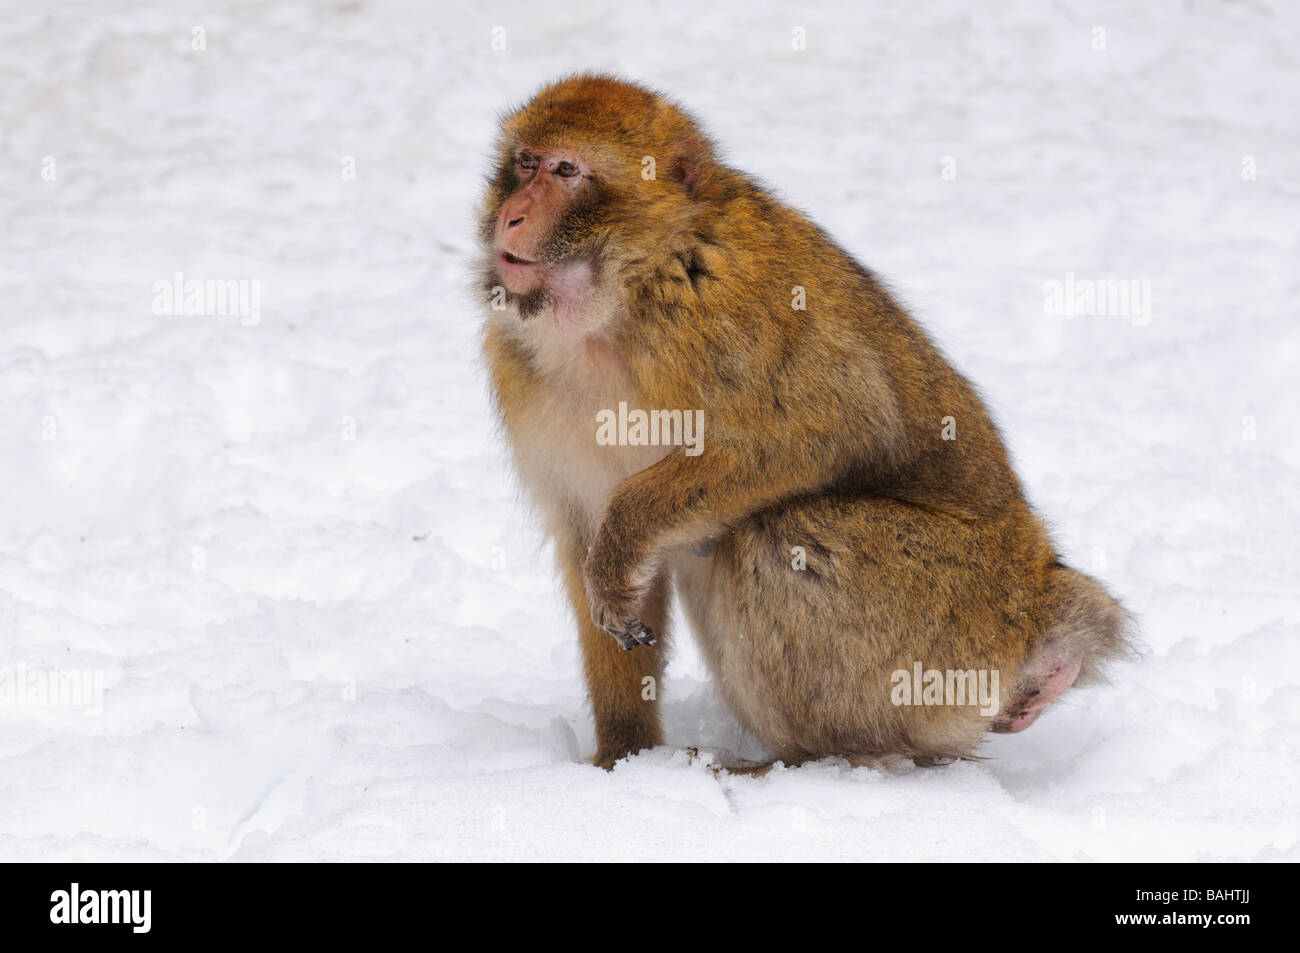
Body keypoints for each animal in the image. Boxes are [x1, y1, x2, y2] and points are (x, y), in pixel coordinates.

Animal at [477, 74, 1135, 771]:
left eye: (566, 170)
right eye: (524, 162)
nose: (510, 214)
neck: (625, 296)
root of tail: (1036, 603)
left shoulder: (716, 317)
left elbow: (840, 423)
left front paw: (623, 536)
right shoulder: (519, 371)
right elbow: (587, 536)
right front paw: (623, 757)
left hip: (953, 628)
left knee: (781, 532)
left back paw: (814, 759)